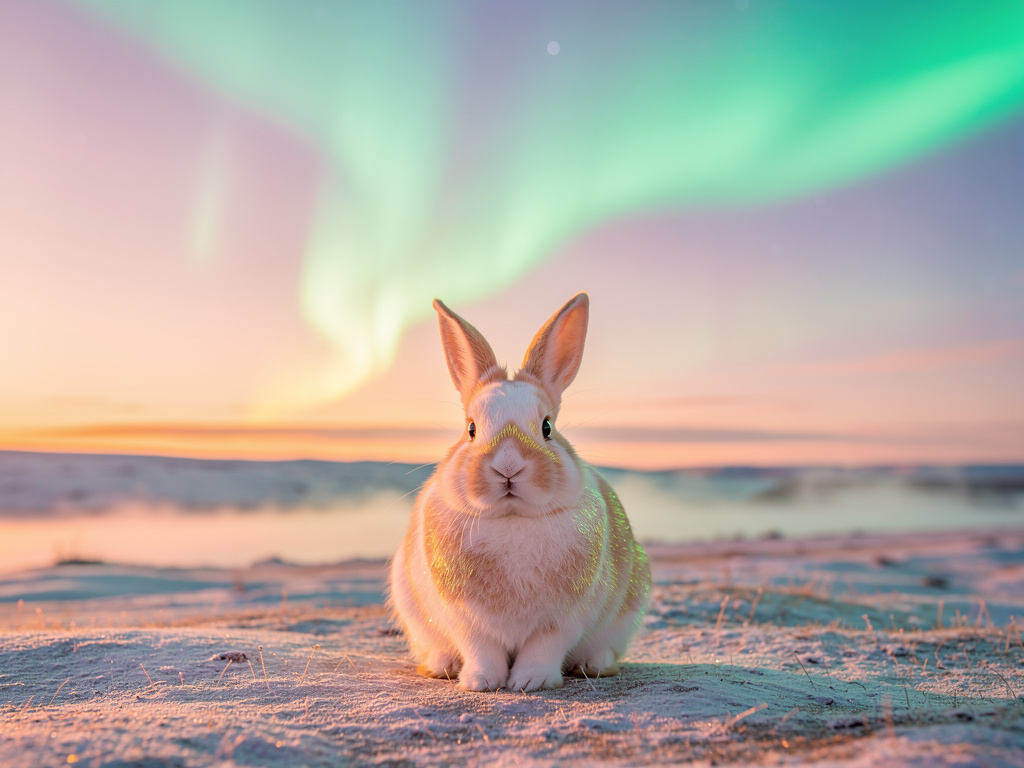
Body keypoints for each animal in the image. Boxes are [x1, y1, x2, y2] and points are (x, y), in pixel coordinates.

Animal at [388, 292, 651, 692]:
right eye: (471, 429)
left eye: (546, 427)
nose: (508, 467)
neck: (512, 519)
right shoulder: (465, 620)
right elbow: (481, 649)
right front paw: (481, 682)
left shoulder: (561, 621)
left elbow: (543, 648)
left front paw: (531, 682)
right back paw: (443, 665)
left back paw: (594, 665)